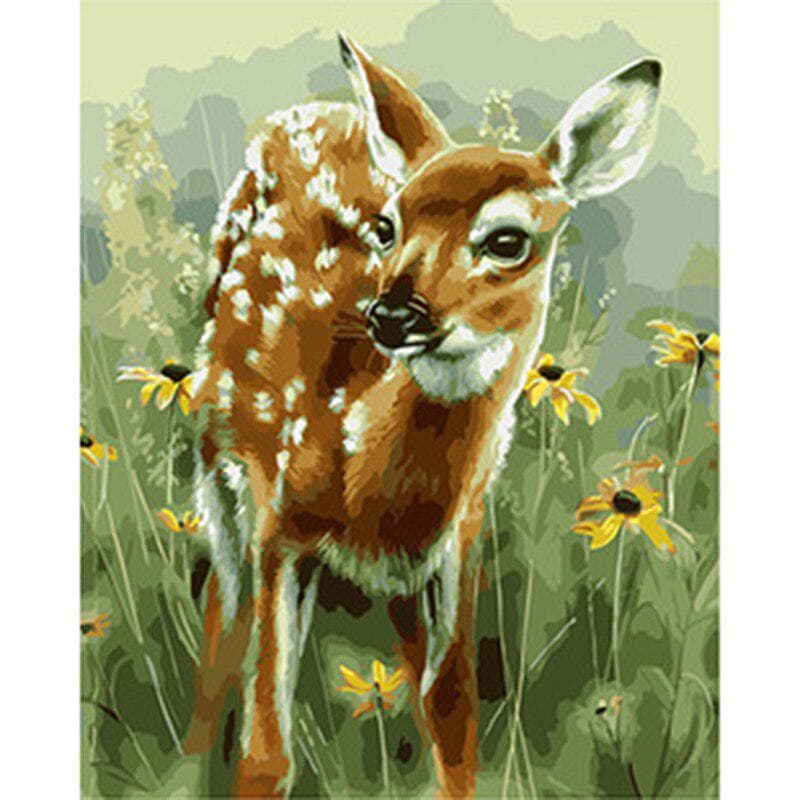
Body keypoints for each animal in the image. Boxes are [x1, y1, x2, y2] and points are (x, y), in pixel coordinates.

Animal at [183, 33, 661, 798]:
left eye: (507, 240)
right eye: (387, 225)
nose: (393, 313)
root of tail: (317, 109)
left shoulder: (455, 545)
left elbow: (452, 715)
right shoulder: (281, 521)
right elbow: (266, 751)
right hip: (216, 444)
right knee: (219, 608)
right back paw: (193, 750)